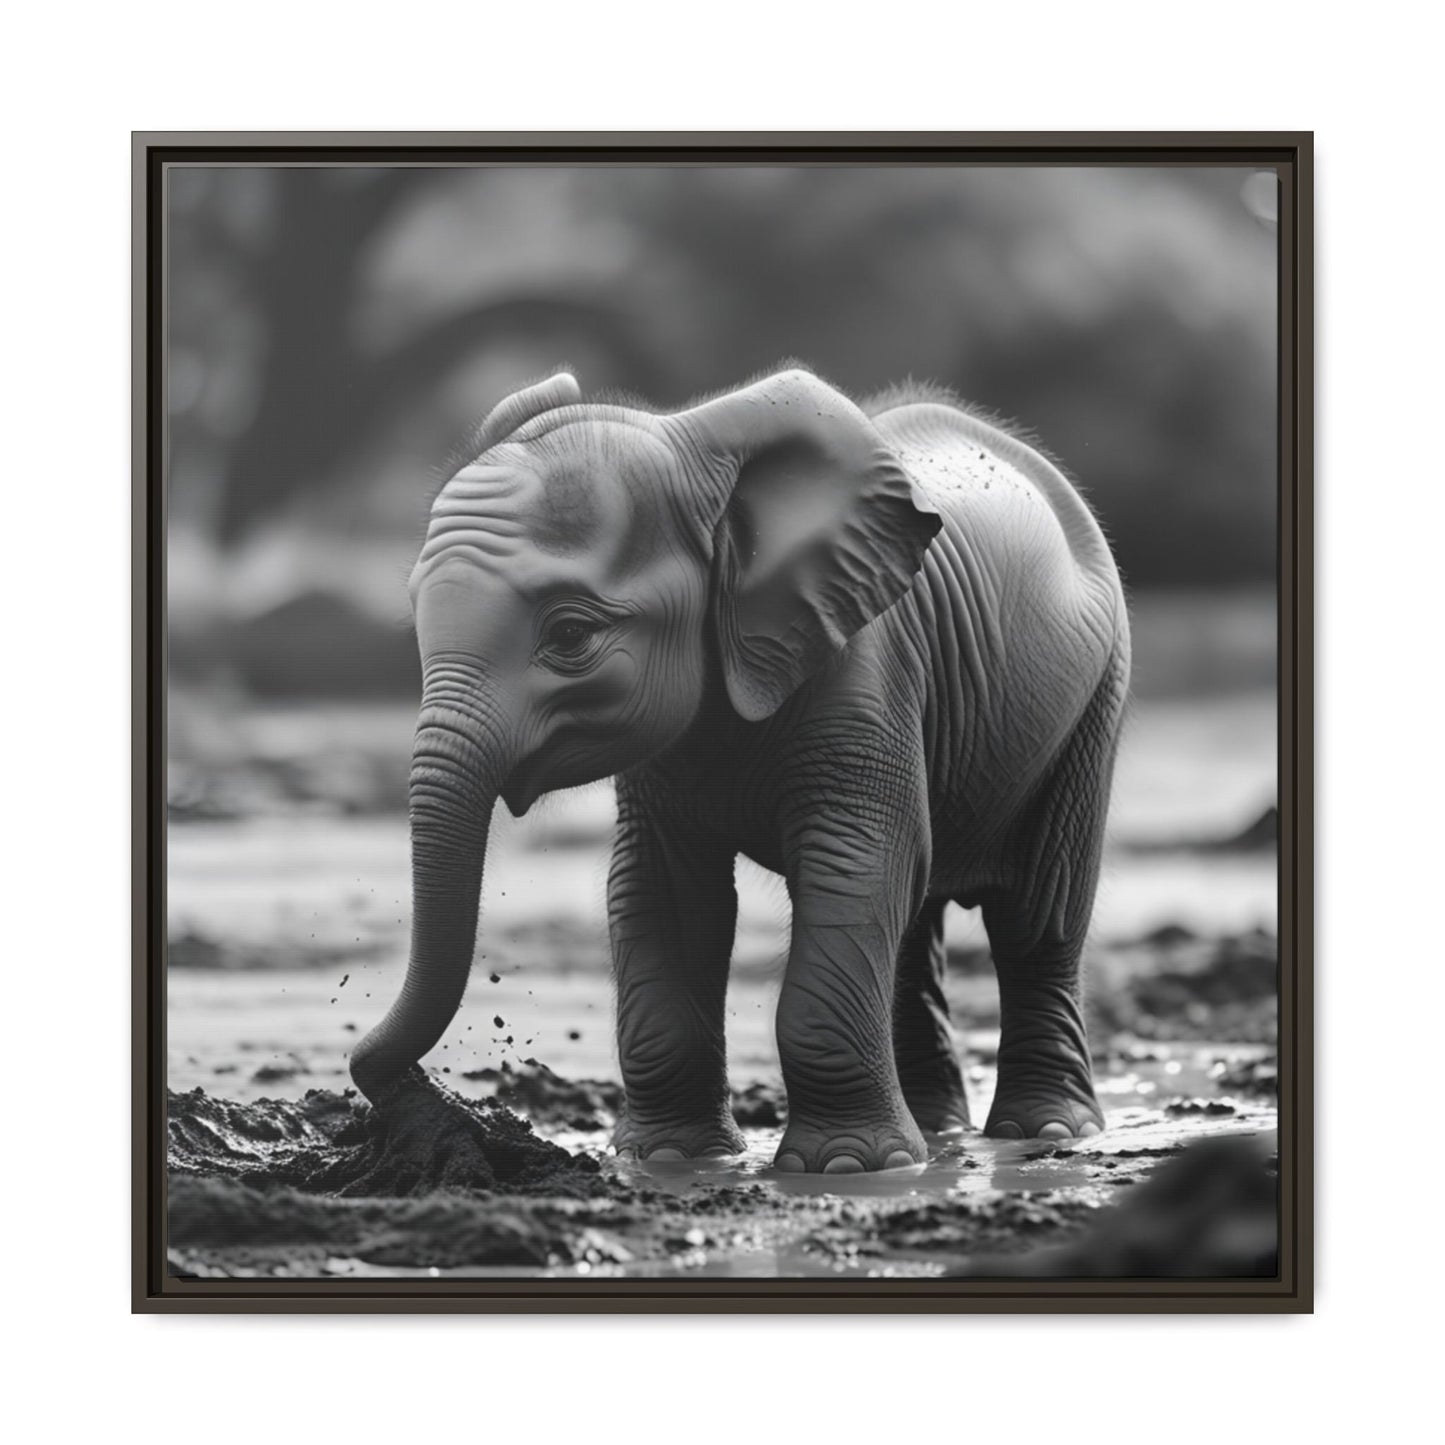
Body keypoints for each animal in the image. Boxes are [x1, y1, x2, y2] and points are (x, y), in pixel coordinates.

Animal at [349, 364, 1130, 1175]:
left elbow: (854, 864)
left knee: (1036, 914)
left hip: (1094, 697)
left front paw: (845, 1167)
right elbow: (662, 890)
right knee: (916, 923)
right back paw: (938, 1134)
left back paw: (1044, 1131)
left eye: (569, 634)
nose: (418, 1097)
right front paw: (669, 1159)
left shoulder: (866, 668)